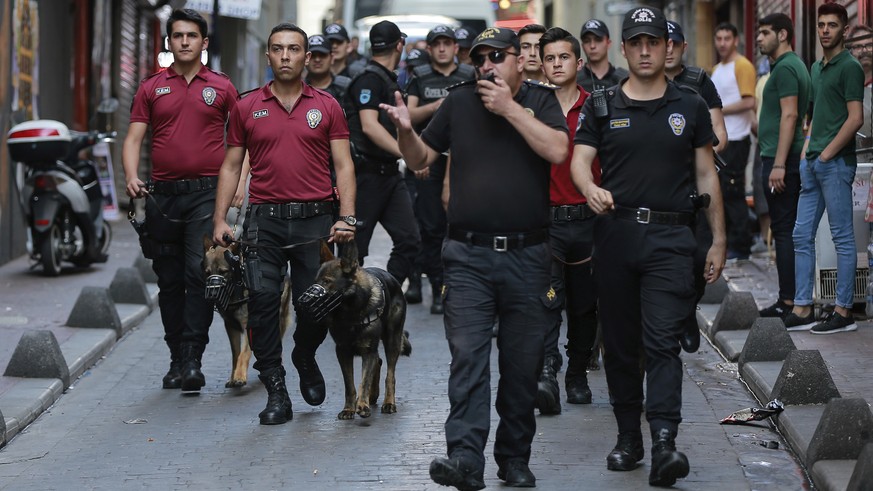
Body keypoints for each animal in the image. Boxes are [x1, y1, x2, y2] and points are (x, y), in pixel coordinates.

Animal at [200, 236, 290, 390]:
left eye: (223, 271)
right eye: (207, 272)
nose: (212, 294)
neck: (237, 291)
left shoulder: (250, 325)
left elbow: (243, 354)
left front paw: (239, 377)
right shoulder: (231, 327)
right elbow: (235, 355)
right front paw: (233, 376)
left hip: (279, 319)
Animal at [304, 241, 414, 418]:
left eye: (327, 281)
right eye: (316, 281)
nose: (305, 301)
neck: (350, 313)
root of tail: (392, 278)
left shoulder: (368, 351)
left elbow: (364, 381)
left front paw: (362, 405)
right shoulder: (343, 352)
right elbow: (350, 385)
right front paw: (349, 408)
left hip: (392, 341)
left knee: (390, 374)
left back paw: (388, 402)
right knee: (378, 362)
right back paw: (373, 396)